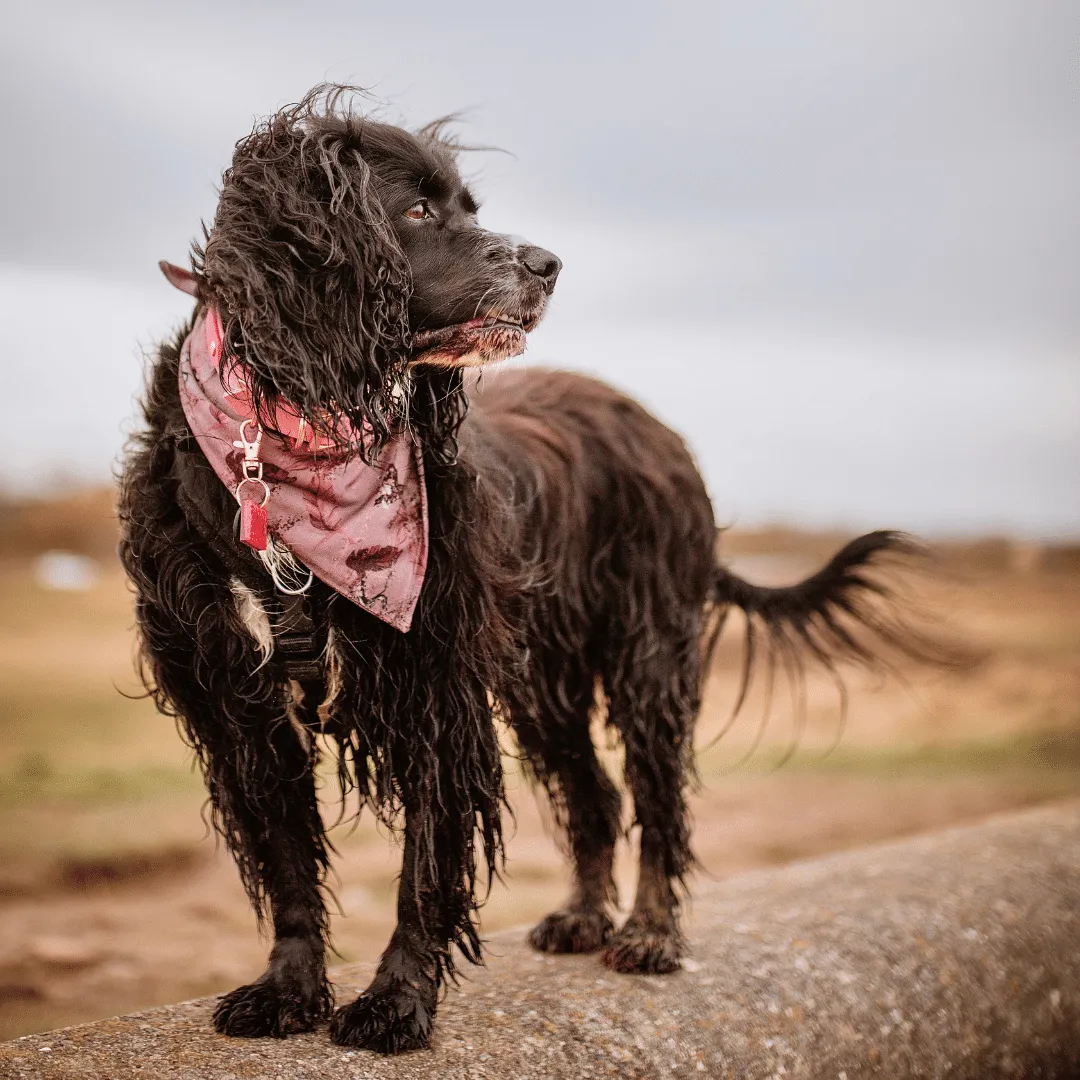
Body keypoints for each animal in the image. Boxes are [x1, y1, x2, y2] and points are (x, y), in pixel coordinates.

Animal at [116, 86, 928, 1054]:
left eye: (471, 208)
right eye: (418, 210)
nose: (548, 263)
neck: (290, 440)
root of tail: (653, 425)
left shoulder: (435, 680)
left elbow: (426, 863)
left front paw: (395, 1001)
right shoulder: (237, 698)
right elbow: (283, 855)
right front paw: (288, 987)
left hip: (649, 651)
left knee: (656, 797)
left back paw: (650, 933)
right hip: (542, 679)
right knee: (597, 797)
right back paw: (582, 917)